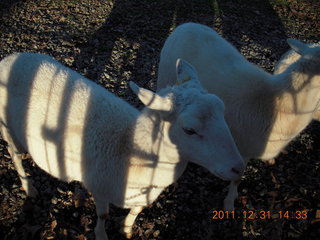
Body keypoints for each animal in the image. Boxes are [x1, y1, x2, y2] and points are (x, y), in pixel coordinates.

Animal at [0, 53, 244, 240]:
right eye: (189, 130)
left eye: (222, 110)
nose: (239, 167)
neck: (130, 150)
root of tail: (10, 58)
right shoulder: (100, 187)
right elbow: (103, 215)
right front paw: (101, 235)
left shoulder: (142, 193)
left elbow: (137, 210)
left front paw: (126, 229)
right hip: (8, 127)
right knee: (14, 153)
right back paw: (29, 187)